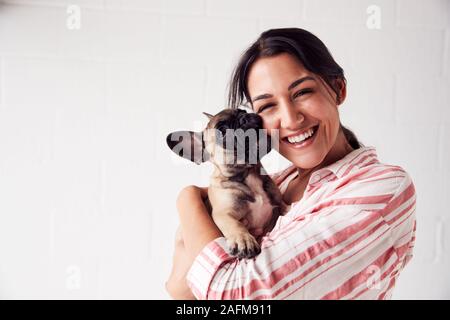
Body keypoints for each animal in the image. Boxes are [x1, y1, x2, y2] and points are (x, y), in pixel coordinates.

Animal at [167, 109, 286, 258]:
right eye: (222, 130)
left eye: (243, 111)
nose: (245, 117)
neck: (248, 172)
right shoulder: (223, 214)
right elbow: (235, 225)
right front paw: (243, 240)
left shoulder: (278, 204)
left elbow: (284, 208)